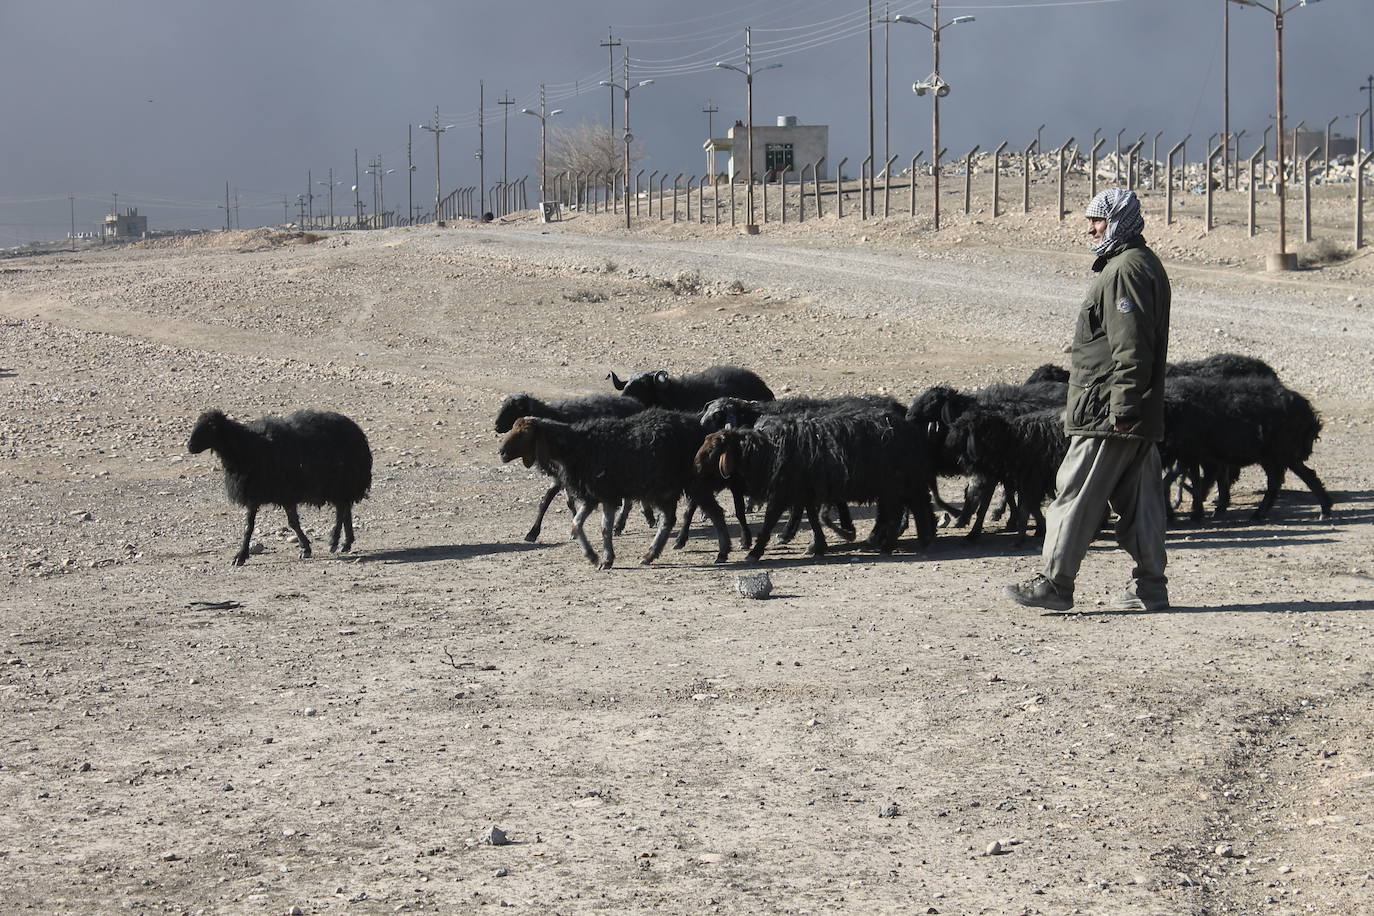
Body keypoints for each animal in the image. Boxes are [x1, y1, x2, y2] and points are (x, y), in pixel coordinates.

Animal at [188, 409, 373, 565]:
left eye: (210, 427)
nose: (189, 446)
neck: (249, 446)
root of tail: (355, 429)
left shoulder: (285, 493)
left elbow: (293, 523)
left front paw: (305, 548)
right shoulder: (254, 495)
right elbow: (249, 526)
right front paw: (241, 555)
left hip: (341, 483)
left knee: (341, 511)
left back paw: (334, 542)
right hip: (342, 485)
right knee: (345, 509)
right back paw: (346, 543)